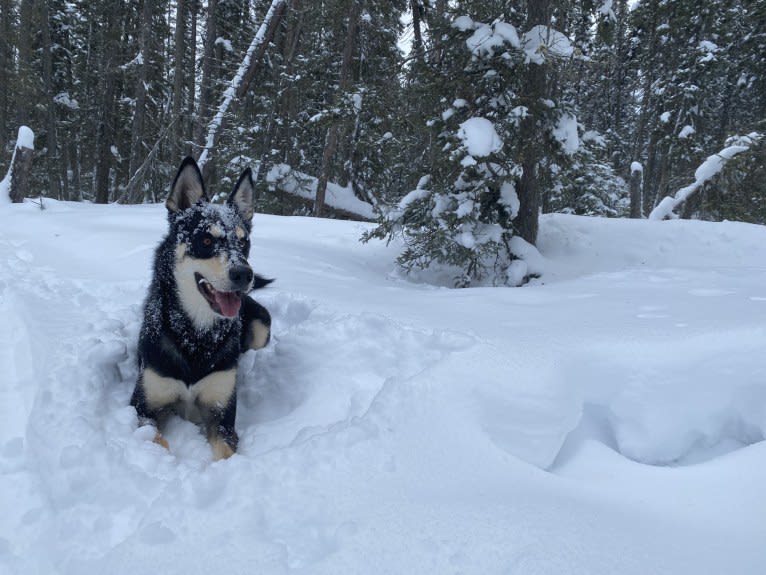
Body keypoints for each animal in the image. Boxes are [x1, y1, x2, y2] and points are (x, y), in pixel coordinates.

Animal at [131, 155, 272, 462]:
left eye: (244, 241)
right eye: (206, 240)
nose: (244, 274)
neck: (196, 335)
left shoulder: (222, 413)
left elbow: (227, 453)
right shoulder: (143, 408)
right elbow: (157, 441)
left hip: (260, 328)